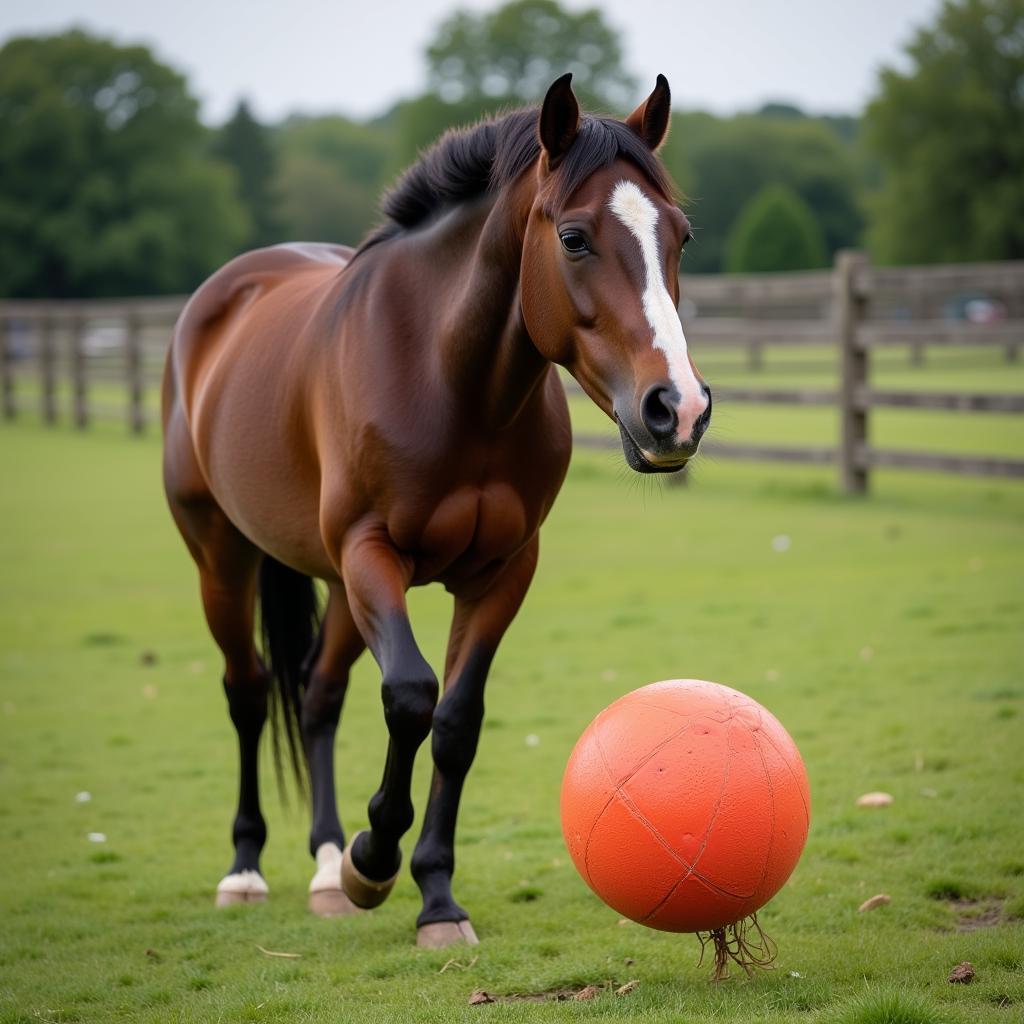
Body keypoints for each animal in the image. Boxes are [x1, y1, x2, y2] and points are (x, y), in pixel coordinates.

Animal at [161, 74, 712, 950]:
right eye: (576, 238)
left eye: (680, 236)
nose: (678, 410)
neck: (447, 378)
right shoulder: (371, 554)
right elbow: (411, 697)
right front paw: (374, 859)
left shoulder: (501, 572)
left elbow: (455, 720)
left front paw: (435, 898)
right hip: (223, 556)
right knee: (248, 692)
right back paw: (248, 869)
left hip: (337, 589)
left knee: (317, 695)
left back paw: (325, 864)